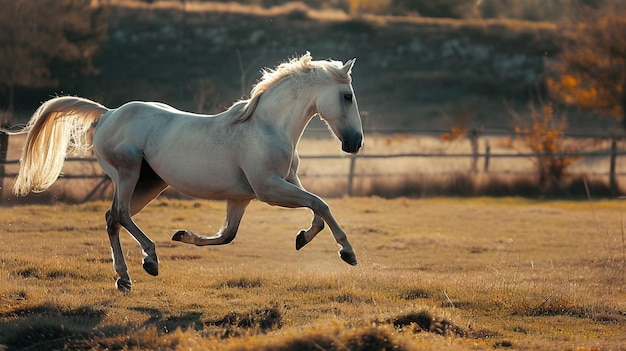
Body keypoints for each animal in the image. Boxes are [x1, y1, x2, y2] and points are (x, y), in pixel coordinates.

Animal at [8, 52, 360, 292]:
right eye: (347, 96)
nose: (355, 142)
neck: (267, 127)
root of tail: (108, 113)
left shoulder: (256, 192)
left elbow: (232, 234)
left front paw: (301, 238)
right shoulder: (269, 189)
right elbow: (320, 204)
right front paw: (348, 252)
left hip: (150, 183)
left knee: (112, 217)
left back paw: (125, 278)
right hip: (128, 173)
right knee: (120, 214)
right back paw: (150, 260)